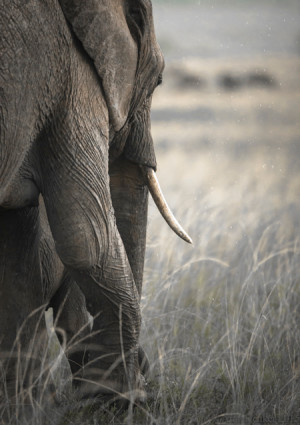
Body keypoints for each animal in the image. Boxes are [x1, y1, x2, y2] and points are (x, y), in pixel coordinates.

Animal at [0, 0, 192, 410]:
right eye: (159, 81)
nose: (145, 367)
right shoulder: (73, 80)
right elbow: (88, 237)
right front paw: (119, 397)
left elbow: (18, 263)